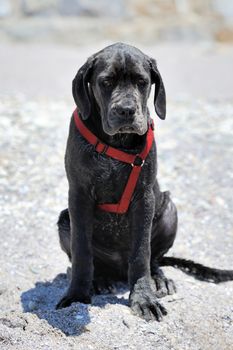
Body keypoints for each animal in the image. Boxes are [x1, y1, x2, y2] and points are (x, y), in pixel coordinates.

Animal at [56, 42, 233, 322]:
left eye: (142, 81)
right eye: (105, 82)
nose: (126, 111)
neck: (116, 144)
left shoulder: (144, 197)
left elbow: (141, 253)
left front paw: (143, 298)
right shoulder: (79, 195)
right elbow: (82, 251)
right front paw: (76, 295)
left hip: (169, 208)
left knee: (154, 260)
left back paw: (158, 279)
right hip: (64, 219)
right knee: (88, 261)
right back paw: (100, 279)